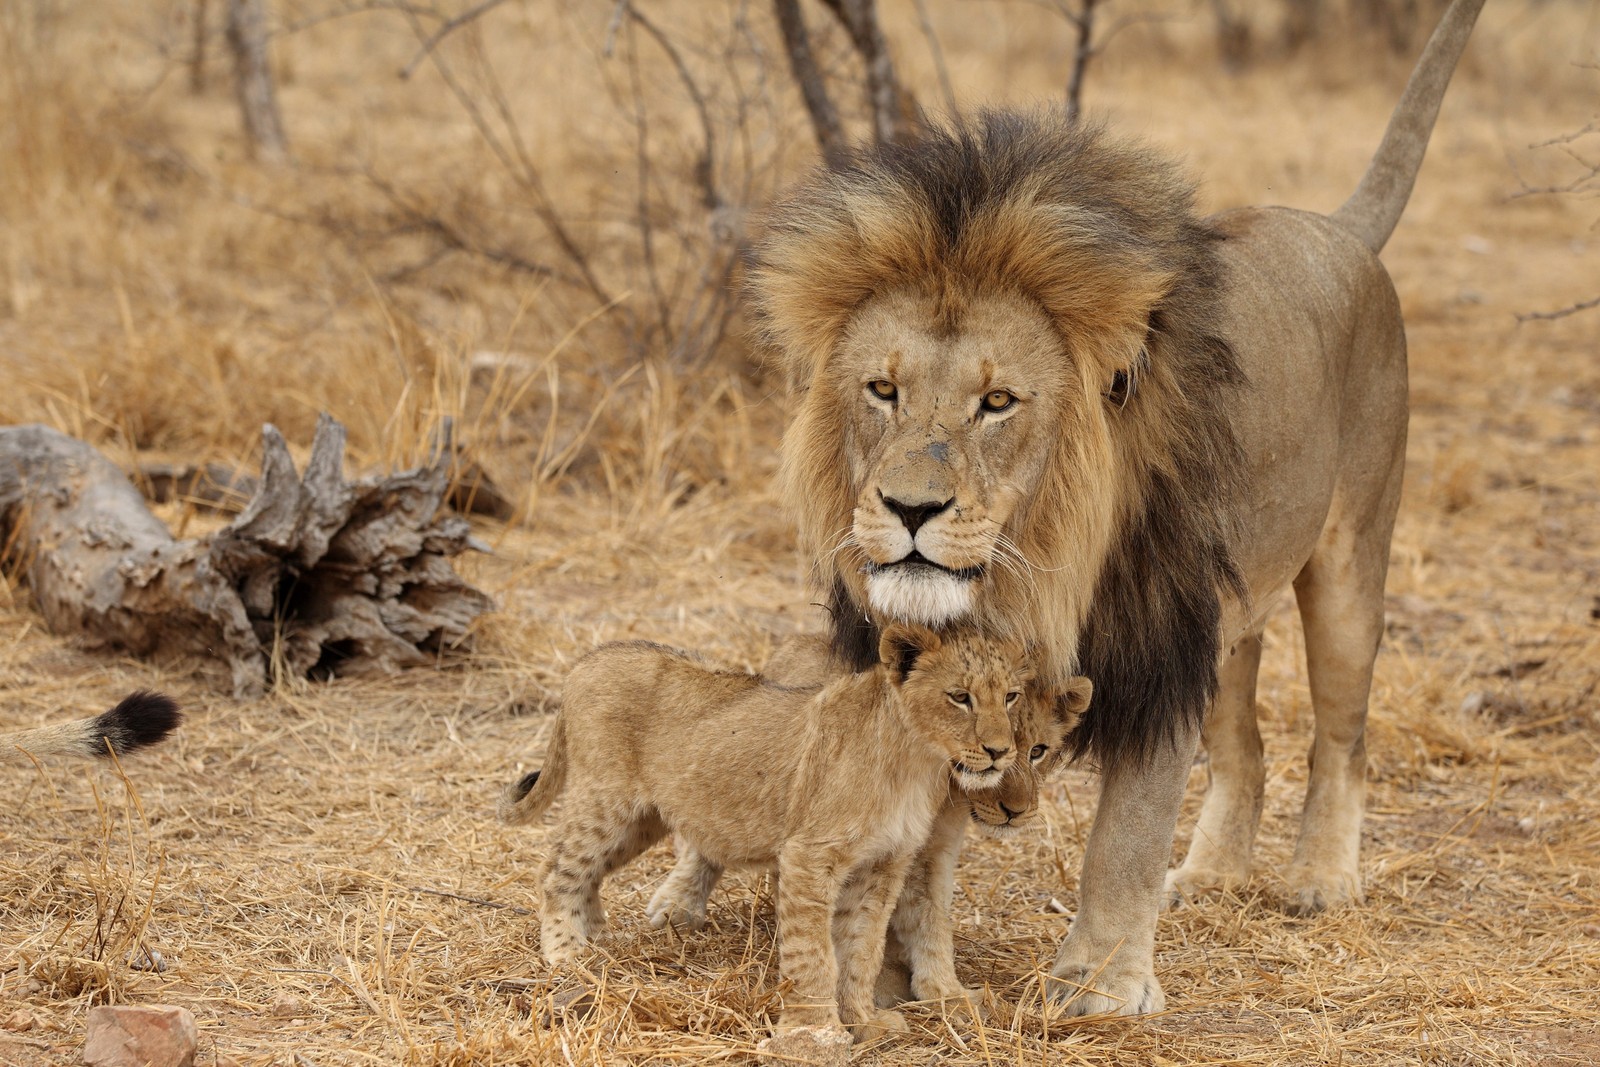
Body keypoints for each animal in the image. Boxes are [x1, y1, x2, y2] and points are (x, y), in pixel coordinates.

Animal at [748, 0, 1484, 1017]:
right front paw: (891, 972)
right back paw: (1210, 875)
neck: (1033, 574)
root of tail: (1335, 228)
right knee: (1246, 746)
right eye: (883, 390)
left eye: (998, 401)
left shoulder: (1160, 644)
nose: (908, 508)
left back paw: (1320, 879)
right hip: (1228, 618)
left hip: (1348, 562)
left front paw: (1098, 982)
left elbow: (1128, 831)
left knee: (1343, 732)